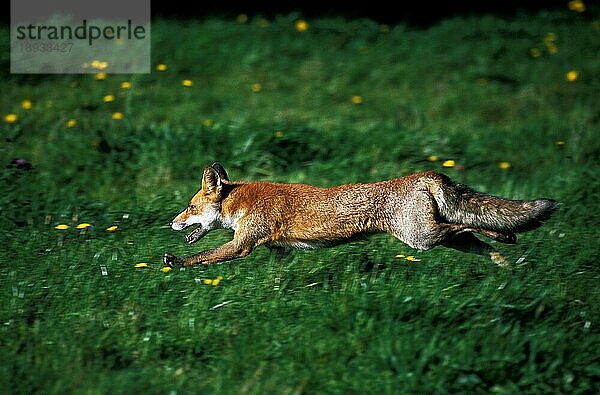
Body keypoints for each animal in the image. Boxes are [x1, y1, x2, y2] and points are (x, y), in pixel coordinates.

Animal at [163, 162, 556, 268]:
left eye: (190, 208)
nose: (172, 223)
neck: (240, 203)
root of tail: (424, 174)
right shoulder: (278, 250)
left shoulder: (242, 245)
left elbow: (202, 257)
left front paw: (176, 262)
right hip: (434, 238)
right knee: (472, 235)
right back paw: (507, 266)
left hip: (420, 237)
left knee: (464, 224)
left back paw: (504, 238)